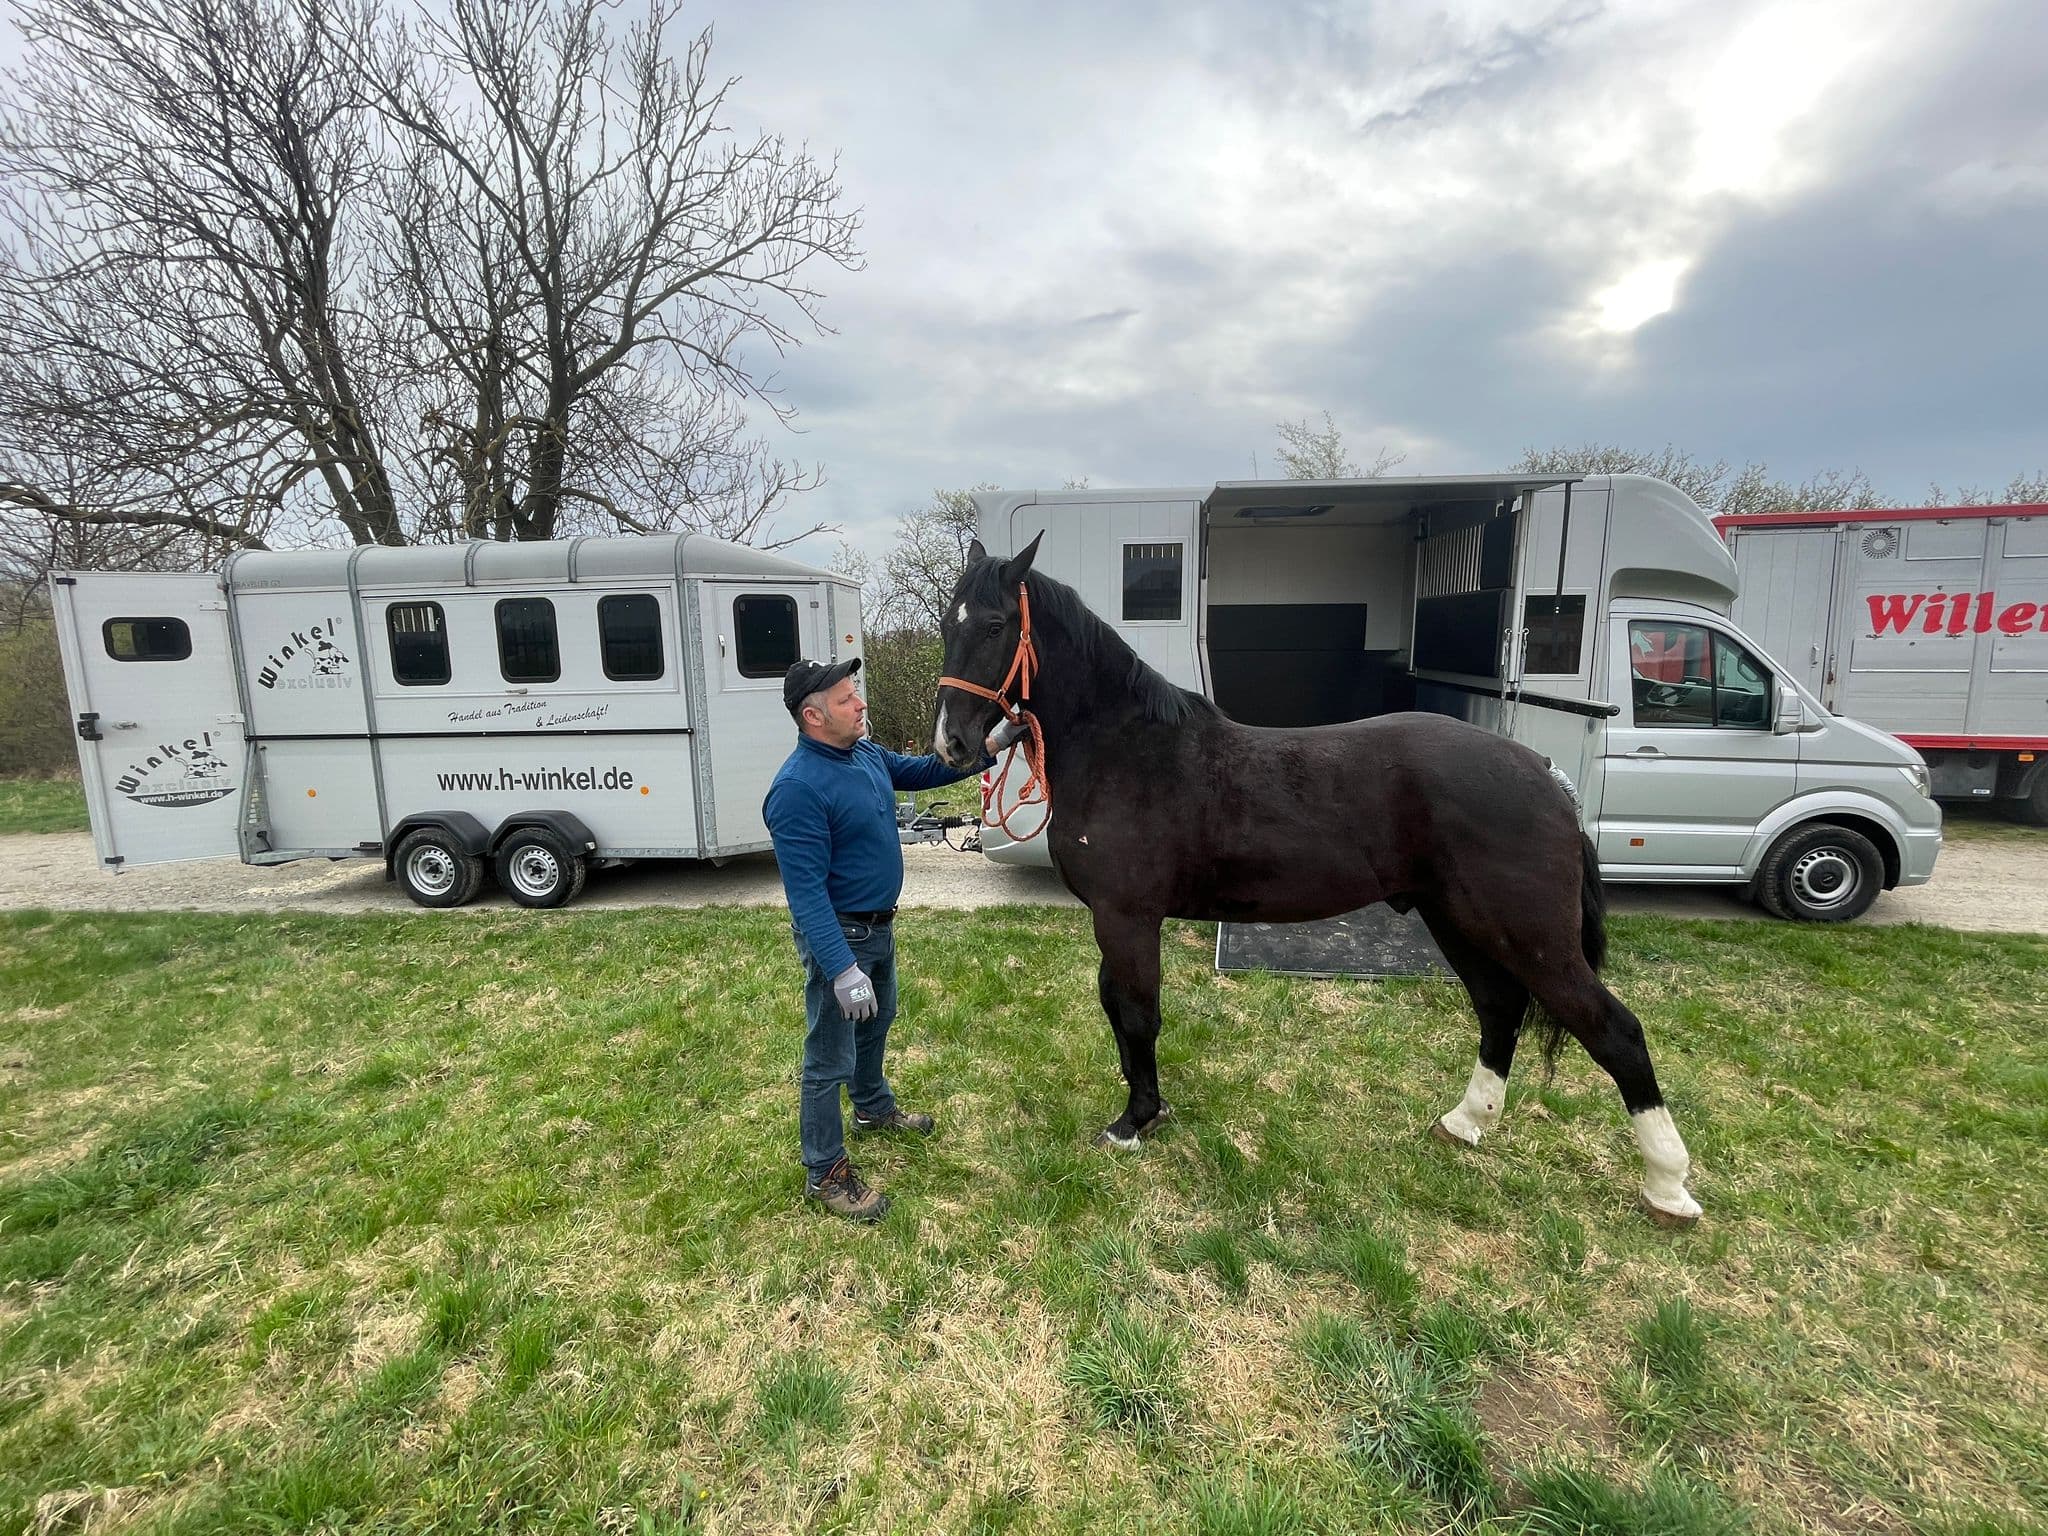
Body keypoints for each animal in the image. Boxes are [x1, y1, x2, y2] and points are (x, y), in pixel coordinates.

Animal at [930, 533, 1702, 1226]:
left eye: (995, 625)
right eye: (945, 624)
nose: (953, 744)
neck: (1127, 749)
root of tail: (1542, 776)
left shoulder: (1126, 916)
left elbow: (1137, 1013)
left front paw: (1134, 1122)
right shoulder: (1114, 919)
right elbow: (1117, 1008)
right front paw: (1149, 1108)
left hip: (1532, 937)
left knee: (1615, 1032)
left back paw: (1668, 1187)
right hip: (1457, 920)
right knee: (1499, 1008)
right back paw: (1465, 1122)